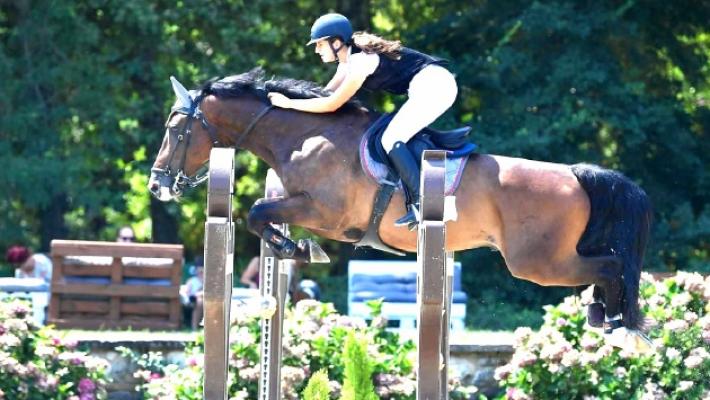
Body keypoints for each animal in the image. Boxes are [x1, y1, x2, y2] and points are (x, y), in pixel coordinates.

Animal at [148, 68, 653, 351]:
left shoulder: (324, 213)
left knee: (611, 267)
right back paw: (607, 319)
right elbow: (263, 215)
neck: (304, 135)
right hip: (546, 259)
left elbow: (256, 212)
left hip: (538, 262)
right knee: (610, 267)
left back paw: (616, 322)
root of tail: (576, 174)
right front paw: (296, 248)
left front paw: (296, 248)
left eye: (175, 129)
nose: (156, 185)